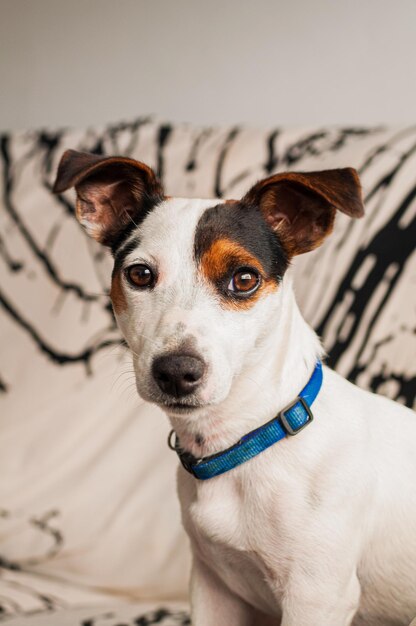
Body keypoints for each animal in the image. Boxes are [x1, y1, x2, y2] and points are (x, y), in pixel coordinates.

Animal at [54, 151, 416, 624]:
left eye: (244, 279)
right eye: (140, 274)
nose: (176, 370)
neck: (248, 438)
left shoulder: (317, 595)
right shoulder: (214, 588)